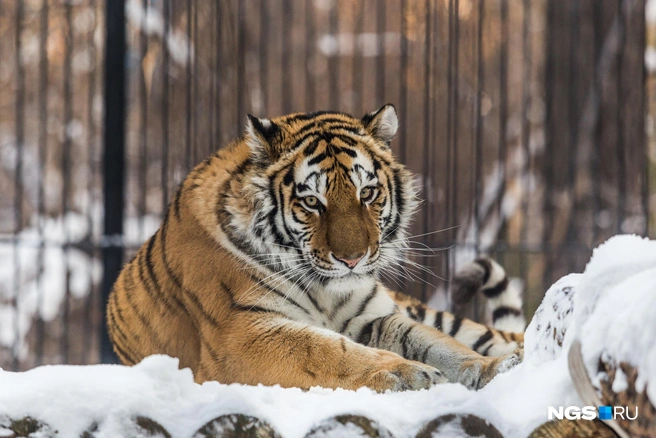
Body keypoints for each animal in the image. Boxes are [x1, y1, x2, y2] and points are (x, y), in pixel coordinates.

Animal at [106, 104, 524, 392]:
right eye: (311, 202)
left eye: (366, 193)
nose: (353, 259)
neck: (326, 291)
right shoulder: (240, 332)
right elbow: (326, 351)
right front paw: (405, 373)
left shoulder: (374, 318)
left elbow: (437, 343)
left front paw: (493, 369)